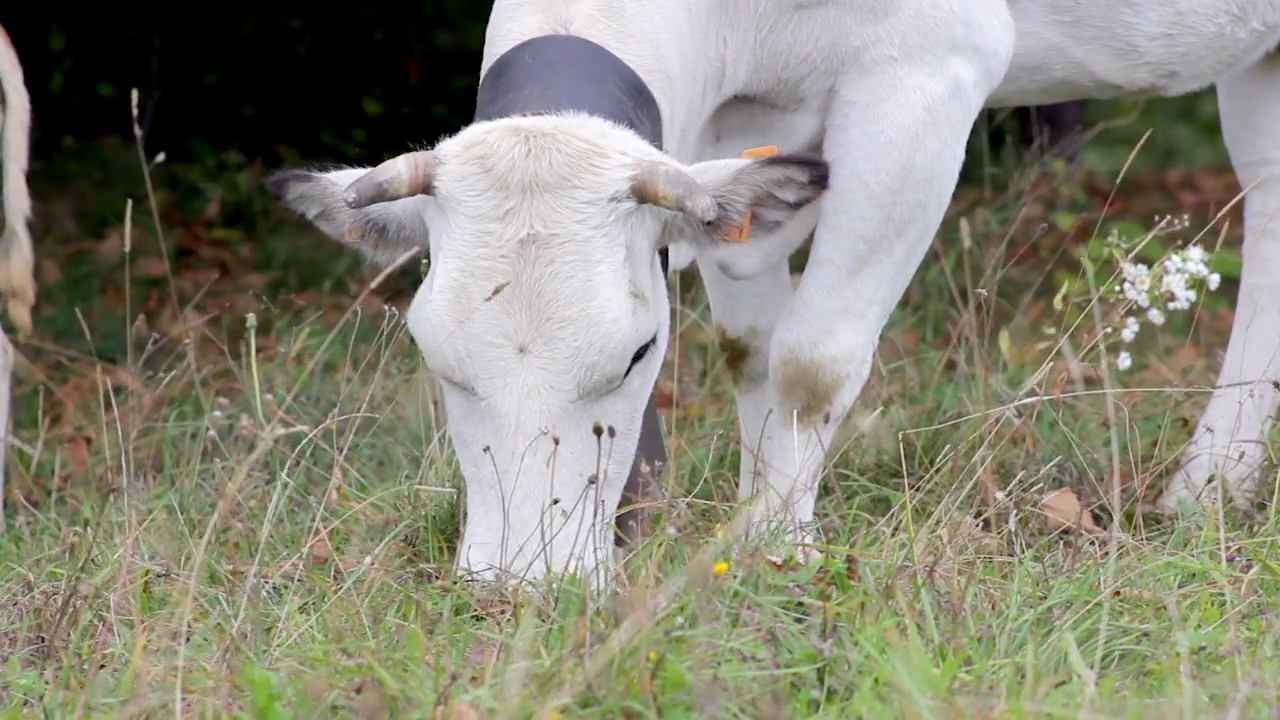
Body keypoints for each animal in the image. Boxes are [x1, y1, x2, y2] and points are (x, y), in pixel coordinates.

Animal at [272, 1, 1280, 589]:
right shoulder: (735, 127)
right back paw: (1213, 489)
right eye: (434, 357)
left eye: (638, 354)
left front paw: (773, 548)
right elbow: (749, 344)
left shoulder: (927, 66)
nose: (526, 584)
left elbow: (813, 356)